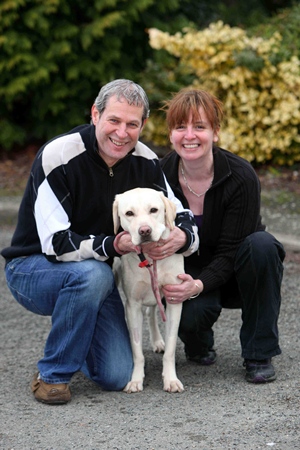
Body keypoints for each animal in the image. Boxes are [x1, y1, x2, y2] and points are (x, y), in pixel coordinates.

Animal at [112, 188, 183, 392]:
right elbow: (137, 351)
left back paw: (158, 341)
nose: (144, 231)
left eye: (154, 210)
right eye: (129, 213)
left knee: (151, 312)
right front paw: (136, 380)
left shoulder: (174, 301)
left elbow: (170, 349)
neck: (150, 257)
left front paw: (171, 379)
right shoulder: (132, 305)